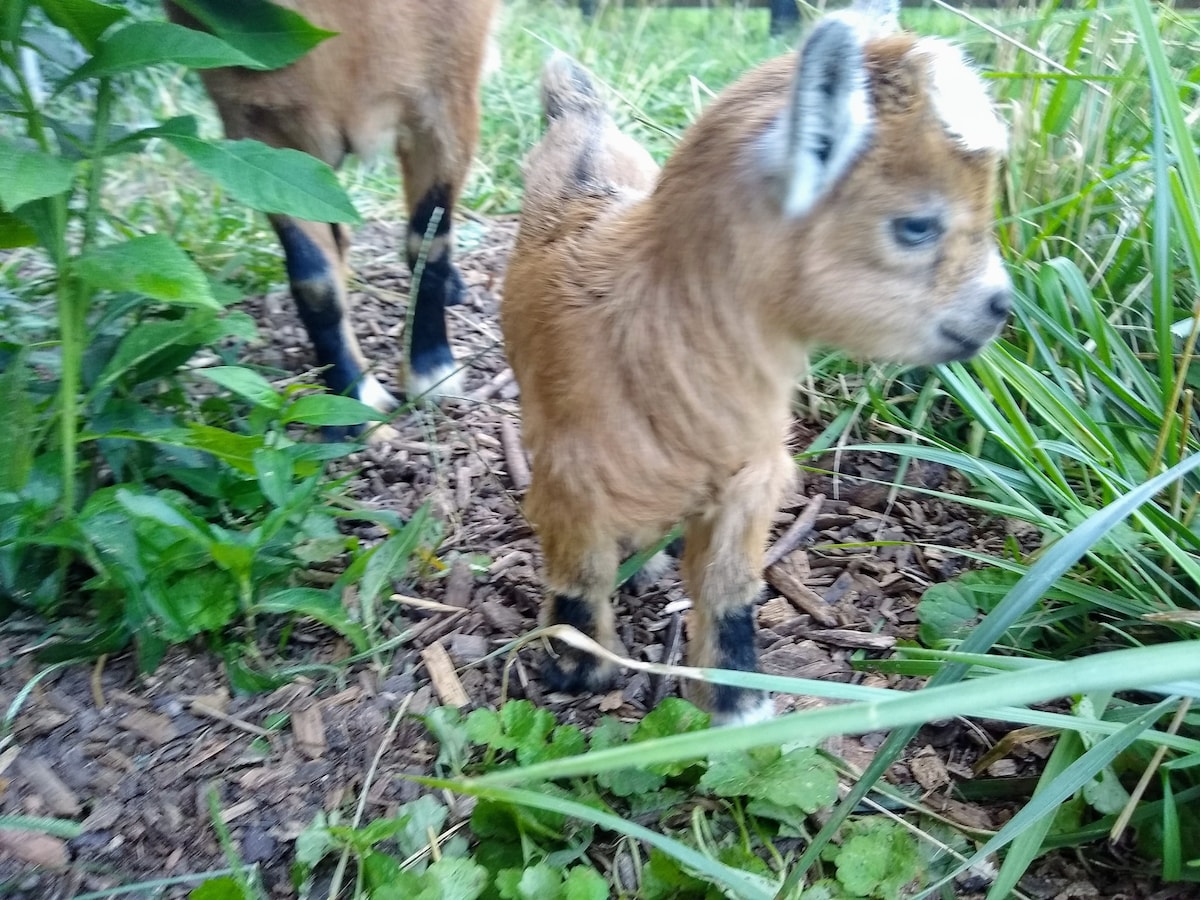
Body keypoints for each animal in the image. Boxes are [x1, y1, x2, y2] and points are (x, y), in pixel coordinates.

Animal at [164, 0, 496, 415]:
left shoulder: (446, 95)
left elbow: (428, 244)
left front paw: (432, 372)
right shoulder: (263, 138)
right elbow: (315, 282)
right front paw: (354, 403)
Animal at [499, 0, 1012, 724]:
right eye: (915, 226)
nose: (1000, 307)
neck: (659, 329)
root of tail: (583, 120)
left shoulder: (750, 480)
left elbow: (727, 586)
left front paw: (736, 704)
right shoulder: (571, 480)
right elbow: (580, 574)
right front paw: (577, 667)